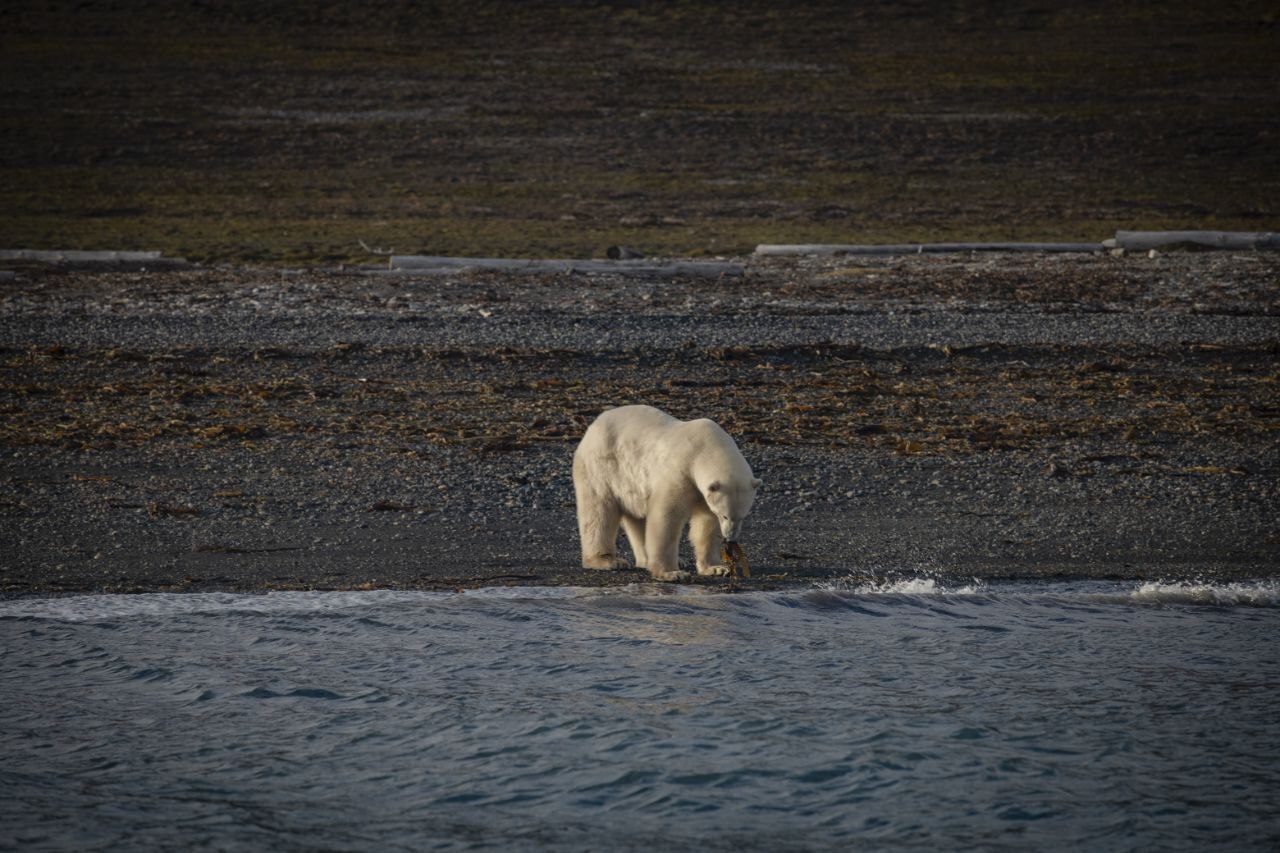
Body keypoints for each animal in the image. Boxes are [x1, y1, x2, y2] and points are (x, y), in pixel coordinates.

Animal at [573, 404, 757, 578]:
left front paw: (716, 568)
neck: (704, 447)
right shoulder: (680, 471)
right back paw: (607, 560)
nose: (730, 537)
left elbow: (707, 523)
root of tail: (594, 425)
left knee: (637, 518)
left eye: (743, 516)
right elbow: (667, 517)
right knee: (599, 511)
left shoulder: (703, 492)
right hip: (603, 467)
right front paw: (671, 573)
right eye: (725, 515)